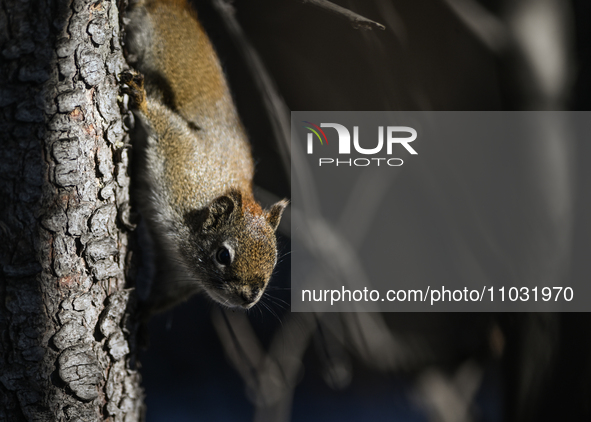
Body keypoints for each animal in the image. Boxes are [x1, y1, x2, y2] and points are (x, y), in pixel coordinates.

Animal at [122, 0, 286, 314]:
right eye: (223, 255)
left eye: (274, 261)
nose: (249, 296)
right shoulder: (181, 161)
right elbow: (164, 125)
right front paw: (142, 100)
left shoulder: (176, 275)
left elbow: (162, 295)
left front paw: (140, 312)